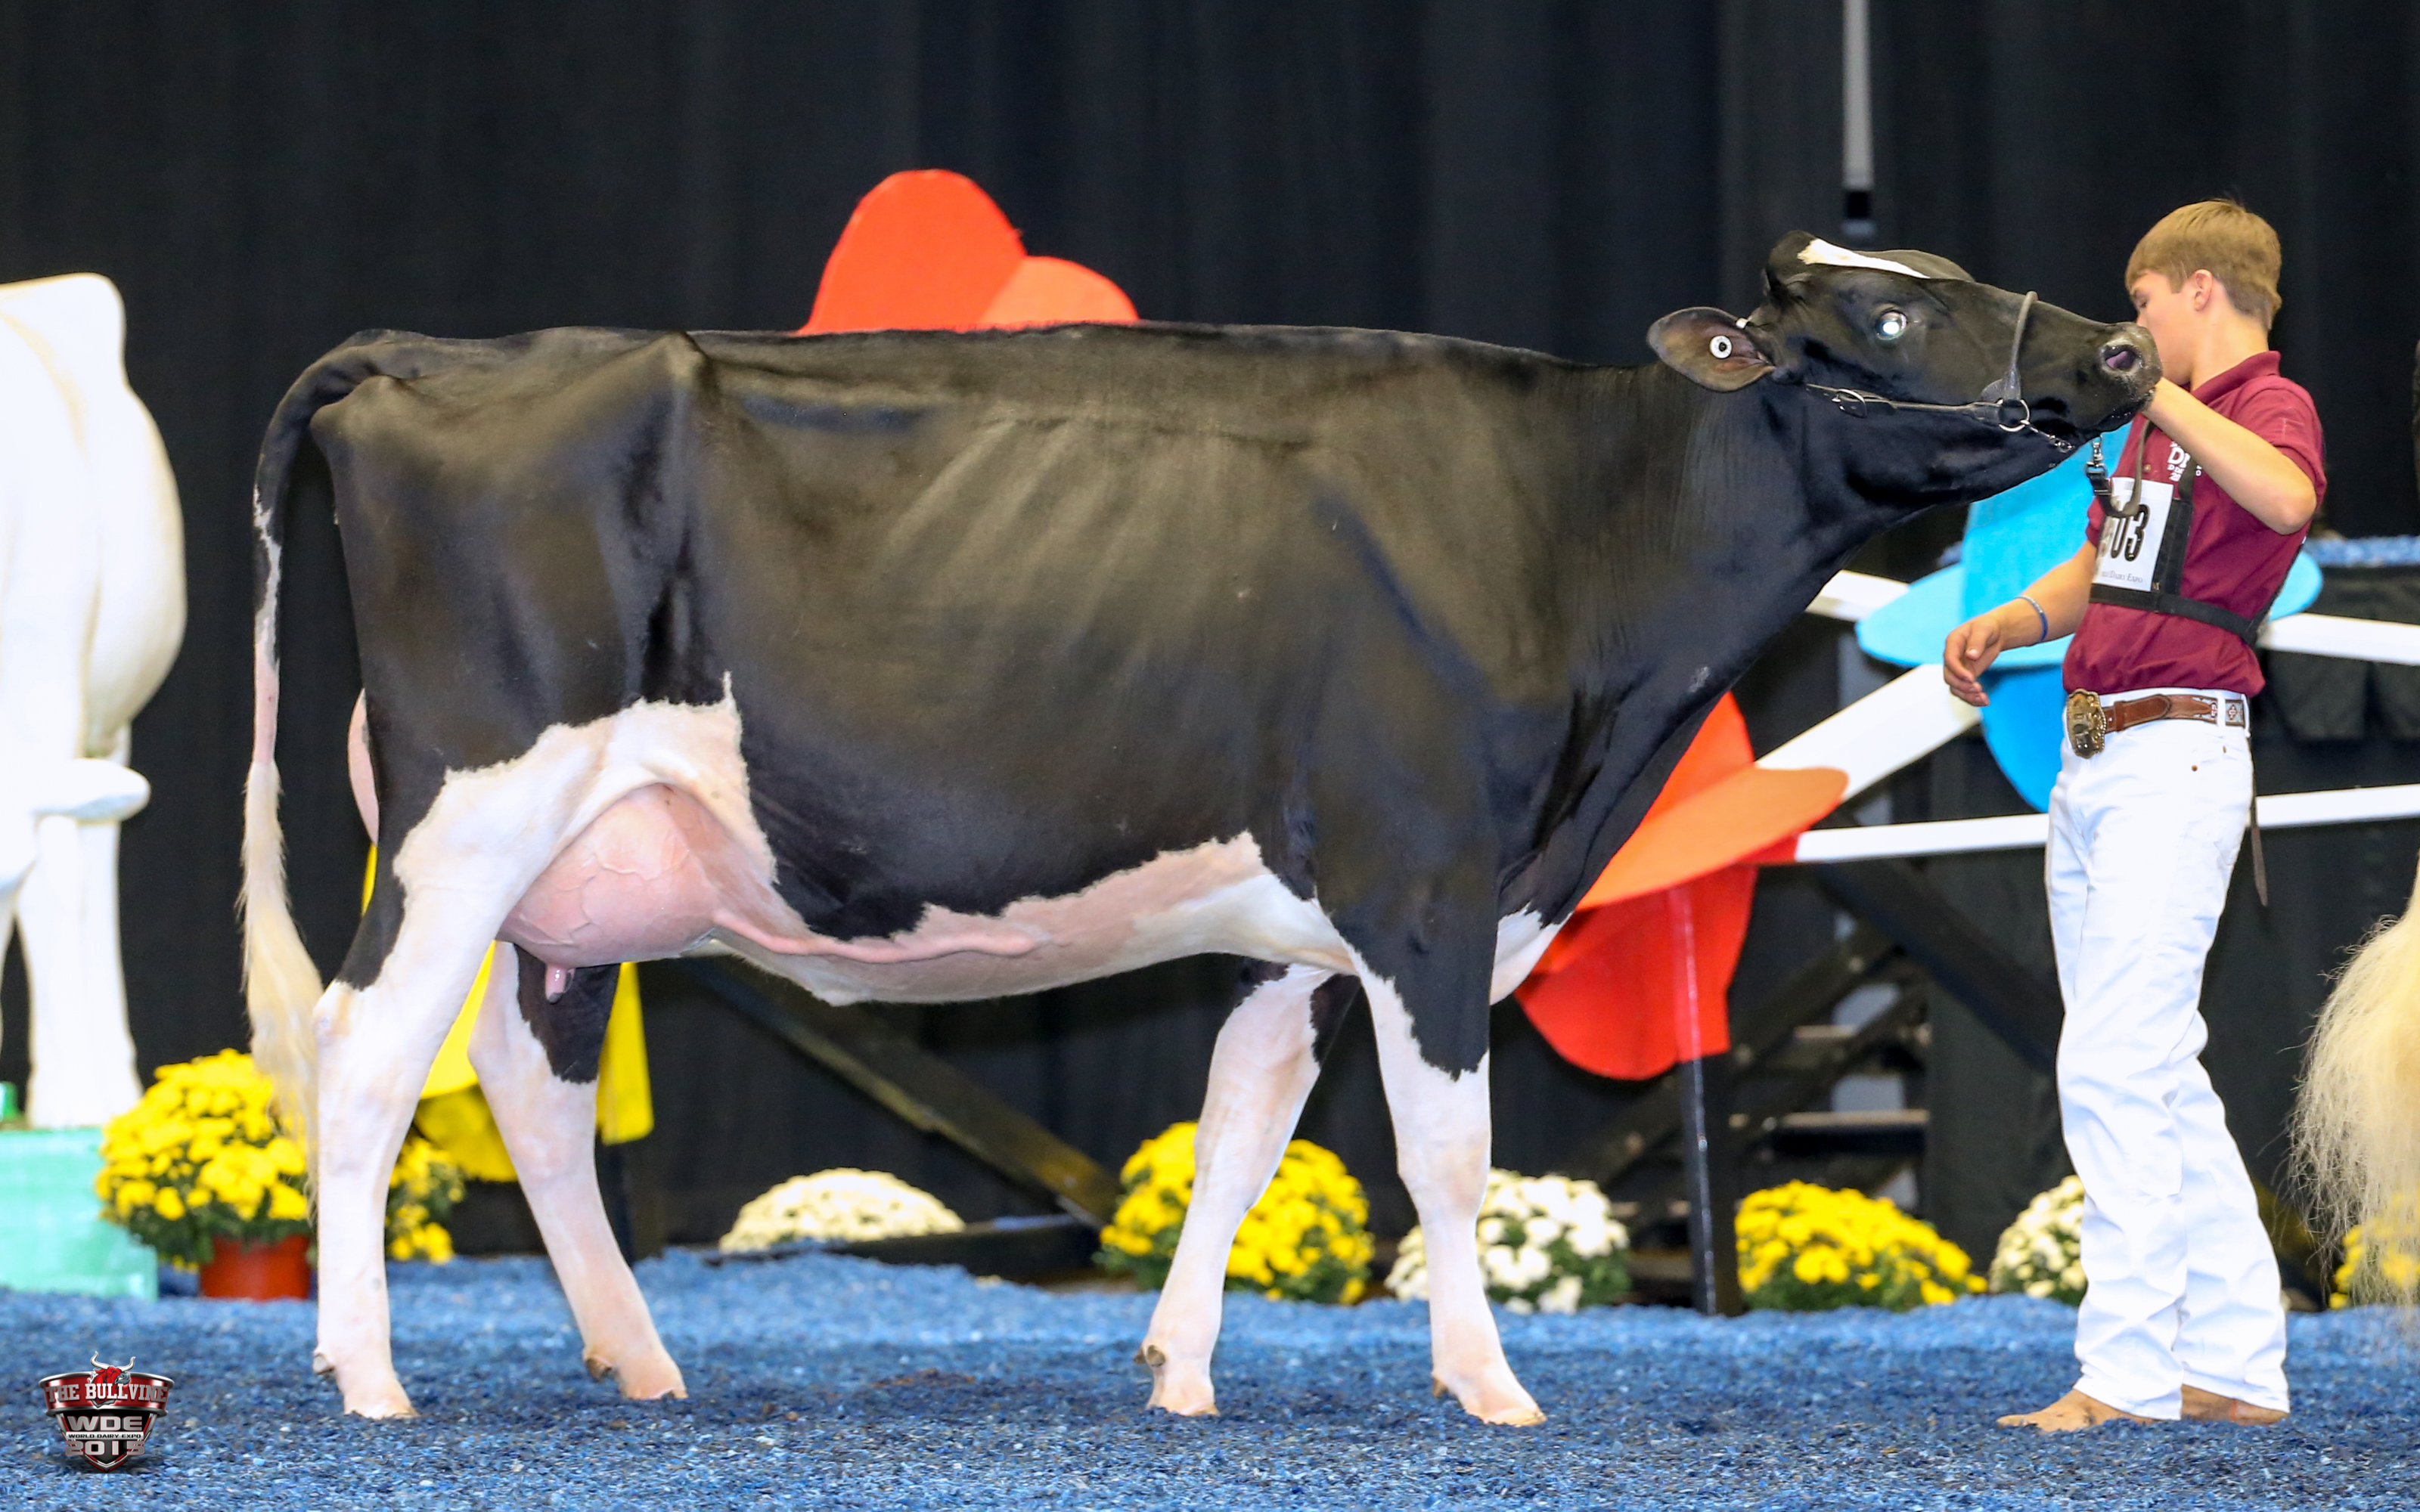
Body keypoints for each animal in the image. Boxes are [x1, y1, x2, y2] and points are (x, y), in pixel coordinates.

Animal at [242, 232, 2156, 1421]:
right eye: (1887, 320)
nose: (2123, 344)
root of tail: (423, 357)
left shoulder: (1304, 935)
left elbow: (1242, 1136)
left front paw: (1177, 1369)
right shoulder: (1428, 885)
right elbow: (1443, 1155)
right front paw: (1492, 1383)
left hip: (565, 876)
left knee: (528, 1088)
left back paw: (633, 1358)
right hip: (473, 810)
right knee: (361, 1055)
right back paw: (368, 1372)